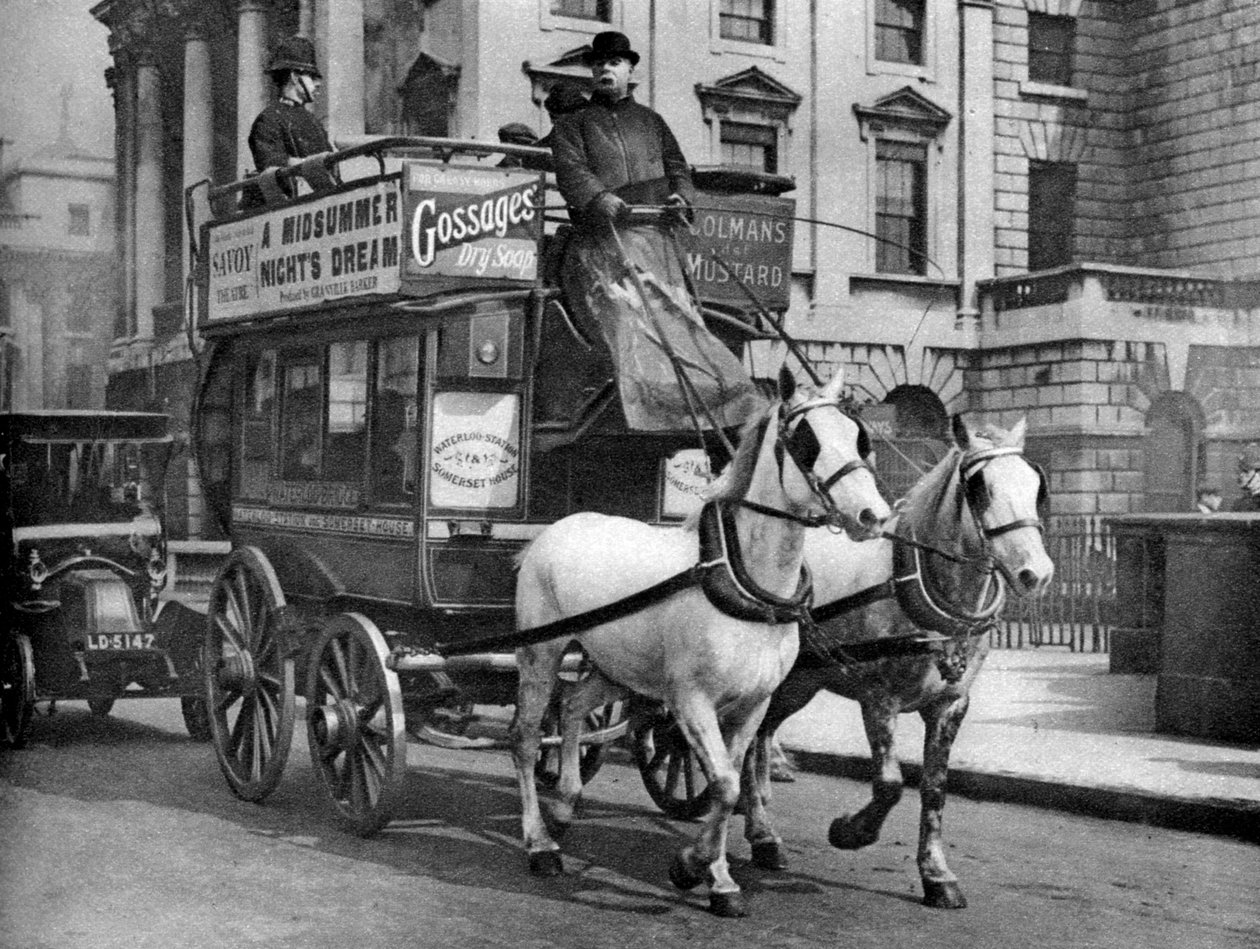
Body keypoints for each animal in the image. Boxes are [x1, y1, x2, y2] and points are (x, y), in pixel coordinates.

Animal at [506, 365, 892, 912]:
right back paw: (540, 842)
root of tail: (551, 531)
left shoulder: (754, 702)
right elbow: (727, 786)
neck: (747, 581)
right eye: (806, 440)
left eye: (859, 437)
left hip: (618, 665)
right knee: (525, 737)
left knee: (576, 705)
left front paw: (717, 877)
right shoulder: (690, 699)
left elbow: (727, 783)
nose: (873, 516)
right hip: (541, 651)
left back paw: (563, 804)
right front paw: (693, 866)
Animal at [735, 413, 1053, 912]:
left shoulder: (950, 705)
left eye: (1037, 486)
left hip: (799, 683)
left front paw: (937, 874)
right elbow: (889, 783)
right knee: (750, 743)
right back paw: (763, 835)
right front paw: (850, 831)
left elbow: (934, 789)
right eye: (980, 487)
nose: (1036, 574)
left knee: (763, 736)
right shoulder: (879, 698)